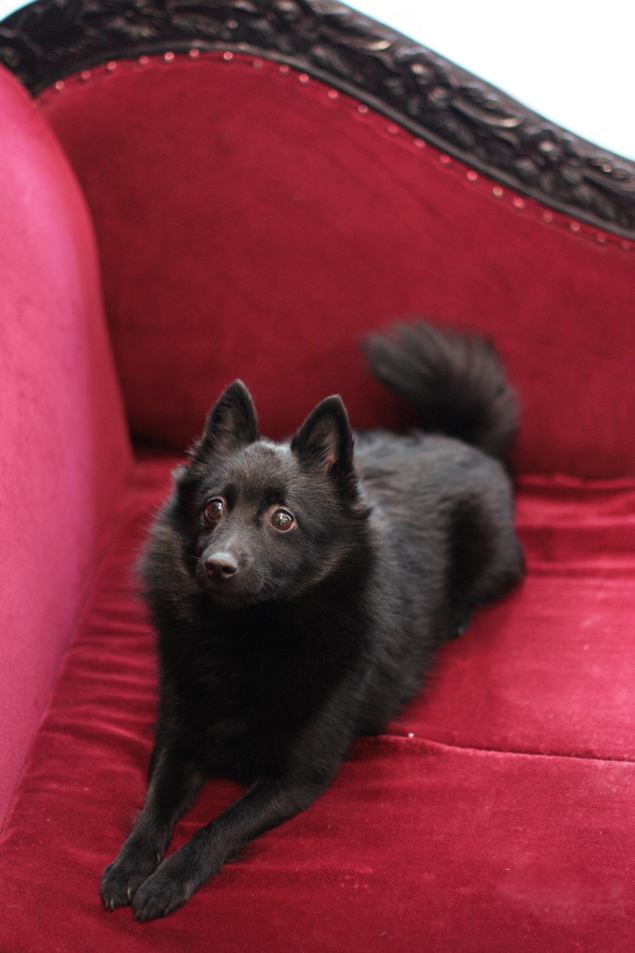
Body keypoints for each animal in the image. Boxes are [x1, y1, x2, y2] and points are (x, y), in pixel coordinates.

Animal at [100, 322, 525, 920]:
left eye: (283, 519)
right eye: (213, 508)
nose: (217, 565)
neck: (247, 633)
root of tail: (458, 439)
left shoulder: (300, 775)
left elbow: (218, 826)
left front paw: (168, 880)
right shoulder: (177, 738)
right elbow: (155, 805)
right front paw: (130, 866)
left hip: (493, 556)